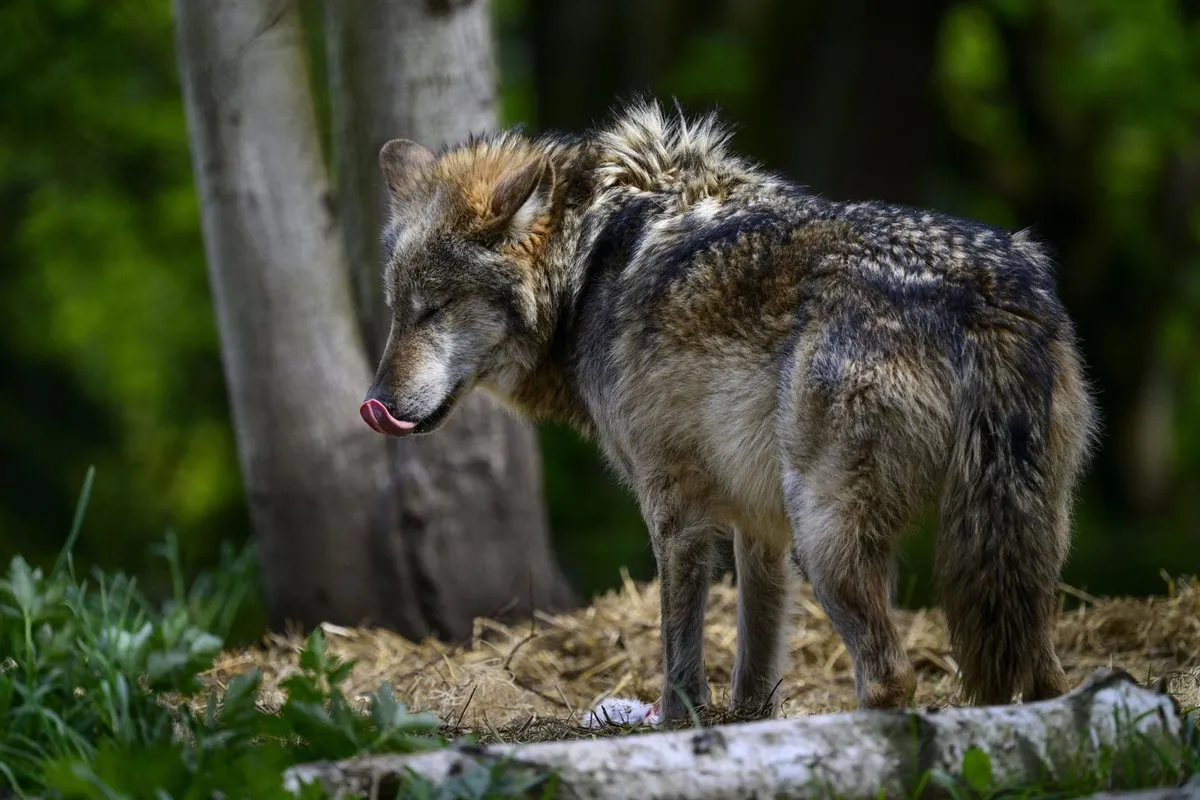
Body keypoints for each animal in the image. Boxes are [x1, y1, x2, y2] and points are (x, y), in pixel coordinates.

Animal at [358, 100, 1099, 724]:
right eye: (398, 310)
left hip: (827, 536)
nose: (377, 406)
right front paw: (748, 725)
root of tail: (984, 294)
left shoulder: (675, 508)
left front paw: (678, 729)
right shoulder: (758, 522)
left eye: (435, 309)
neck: (589, 261)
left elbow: (679, 656)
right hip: (1021, 544)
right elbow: (756, 658)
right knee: (1047, 679)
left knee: (891, 676)